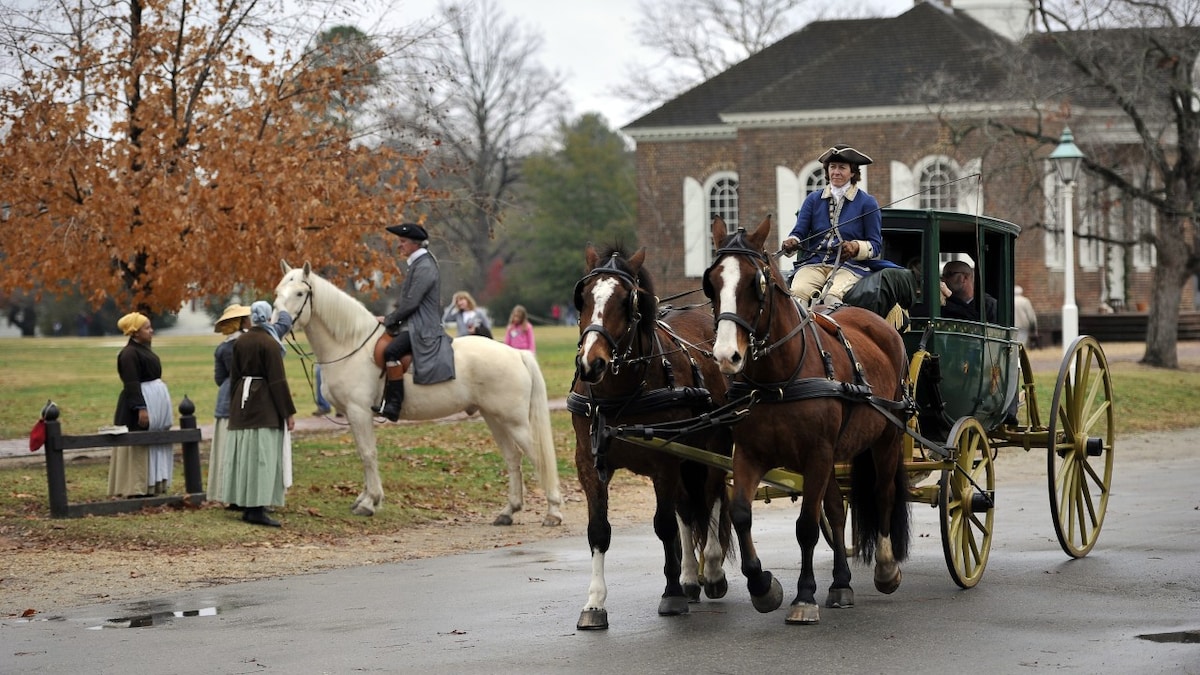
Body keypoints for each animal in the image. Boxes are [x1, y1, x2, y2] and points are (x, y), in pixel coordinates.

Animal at [274, 260, 564, 523]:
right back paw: (508, 511)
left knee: (538, 457)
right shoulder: (352, 414)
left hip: (514, 422)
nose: (278, 323)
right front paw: (366, 498)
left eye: (299, 293)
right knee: (513, 457)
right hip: (494, 418)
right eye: (278, 292)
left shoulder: (358, 412)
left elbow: (368, 454)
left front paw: (369, 502)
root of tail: (516, 353)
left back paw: (553, 511)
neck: (351, 345)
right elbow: (364, 453)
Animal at [568, 243, 729, 629]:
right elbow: (599, 530)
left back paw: (712, 572)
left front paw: (671, 594)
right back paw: (690, 578)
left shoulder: (664, 459)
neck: (619, 394)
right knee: (689, 507)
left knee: (713, 497)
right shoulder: (588, 462)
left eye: (628, 301)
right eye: (583, 297)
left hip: (714, 446)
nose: (591, 363)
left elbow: (664, 525)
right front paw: (594, 603)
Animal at [700, 218, 907, 624]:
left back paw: (886, 568)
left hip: (887, 437)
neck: (779, 379)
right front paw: (762, 586)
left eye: (755, 283)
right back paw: (841, 584)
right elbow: (741, 513)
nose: (727, 356)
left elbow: (807, 526)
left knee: (883, 494)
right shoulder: (749, 454)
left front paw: (805, 595)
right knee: (838, 511)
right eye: (712, 282)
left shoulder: (817, 455)